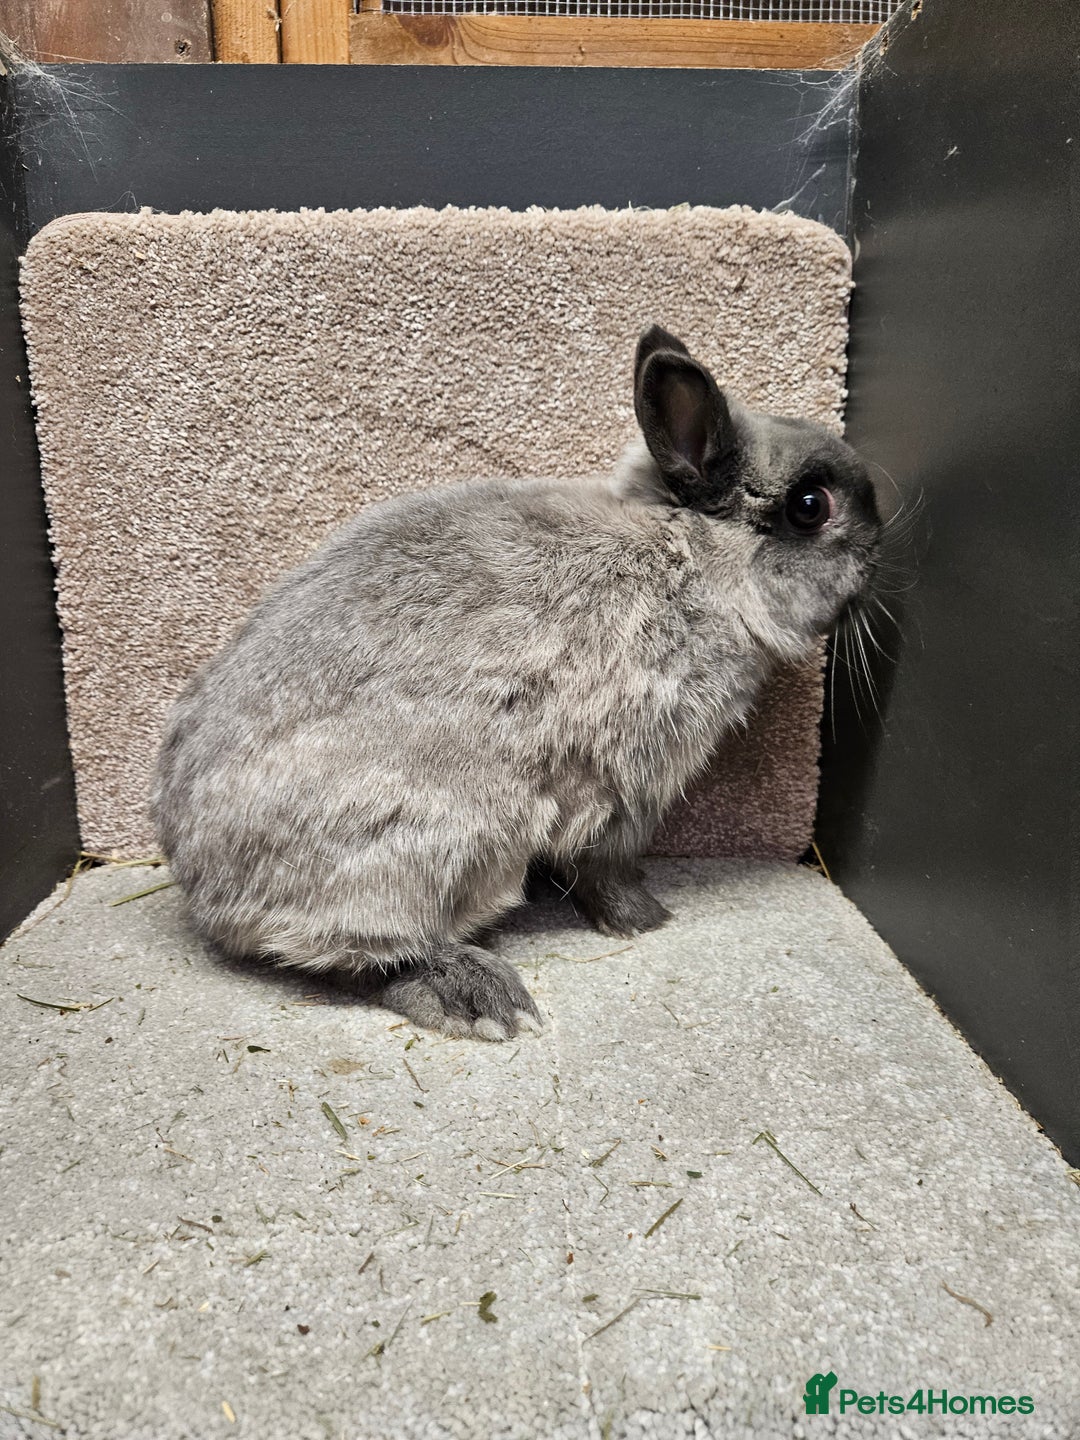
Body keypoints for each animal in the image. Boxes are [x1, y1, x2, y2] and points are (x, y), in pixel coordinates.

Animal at [153, 324, 882, 1041]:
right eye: (810, 506)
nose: (879, 549)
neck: (693, 557)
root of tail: (204, 888)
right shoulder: (628, 783)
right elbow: (603, 866)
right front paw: (646, 919)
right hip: (447, 835)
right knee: (363, 955)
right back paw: (478, 997)